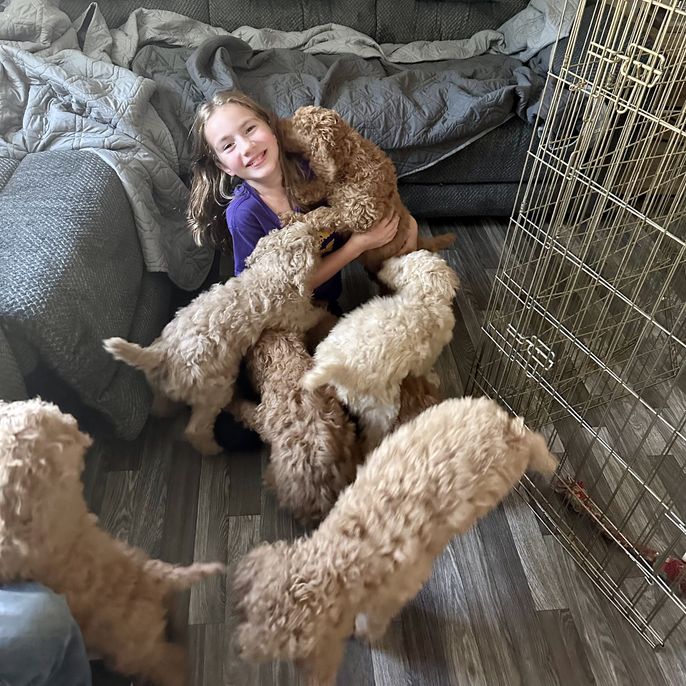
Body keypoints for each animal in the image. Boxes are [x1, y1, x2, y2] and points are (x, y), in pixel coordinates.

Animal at [104, 221, 325, 455]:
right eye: (311, 240)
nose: (310, 227)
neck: (270, 271)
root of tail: (160, 354)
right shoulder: (294, 314)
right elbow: (311, 315)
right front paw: (322, 309)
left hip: (163, 383)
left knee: (159, 405)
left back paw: (167, 411)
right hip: (215, 391)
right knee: (195, 429)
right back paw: (212, 448)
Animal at [233, 396, 558, 685]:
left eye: (278, 650)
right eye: (250, 611)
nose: (240, 650)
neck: (340, 555)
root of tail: (507, 428)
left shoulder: (393, 592)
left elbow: (374, 618)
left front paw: (364, 634)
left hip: (509, 470)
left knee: (533, 446)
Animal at [278, 105, 455, 271]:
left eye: (298, 125)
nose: (277, 124)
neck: (350, 159)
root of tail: (419, 241)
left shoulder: (361, 213)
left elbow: (323, 213)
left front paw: (293, 219)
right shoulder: (334, 185)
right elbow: (321, 186)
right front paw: (299, 191)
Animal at [303, 250, 459, 451]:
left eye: (400, 266)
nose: (383, 265)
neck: (423, 297)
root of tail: (336, 365)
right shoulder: (430, 353)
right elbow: (425, 369)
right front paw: (433, 378)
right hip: (381, 409)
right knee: (372, 434)